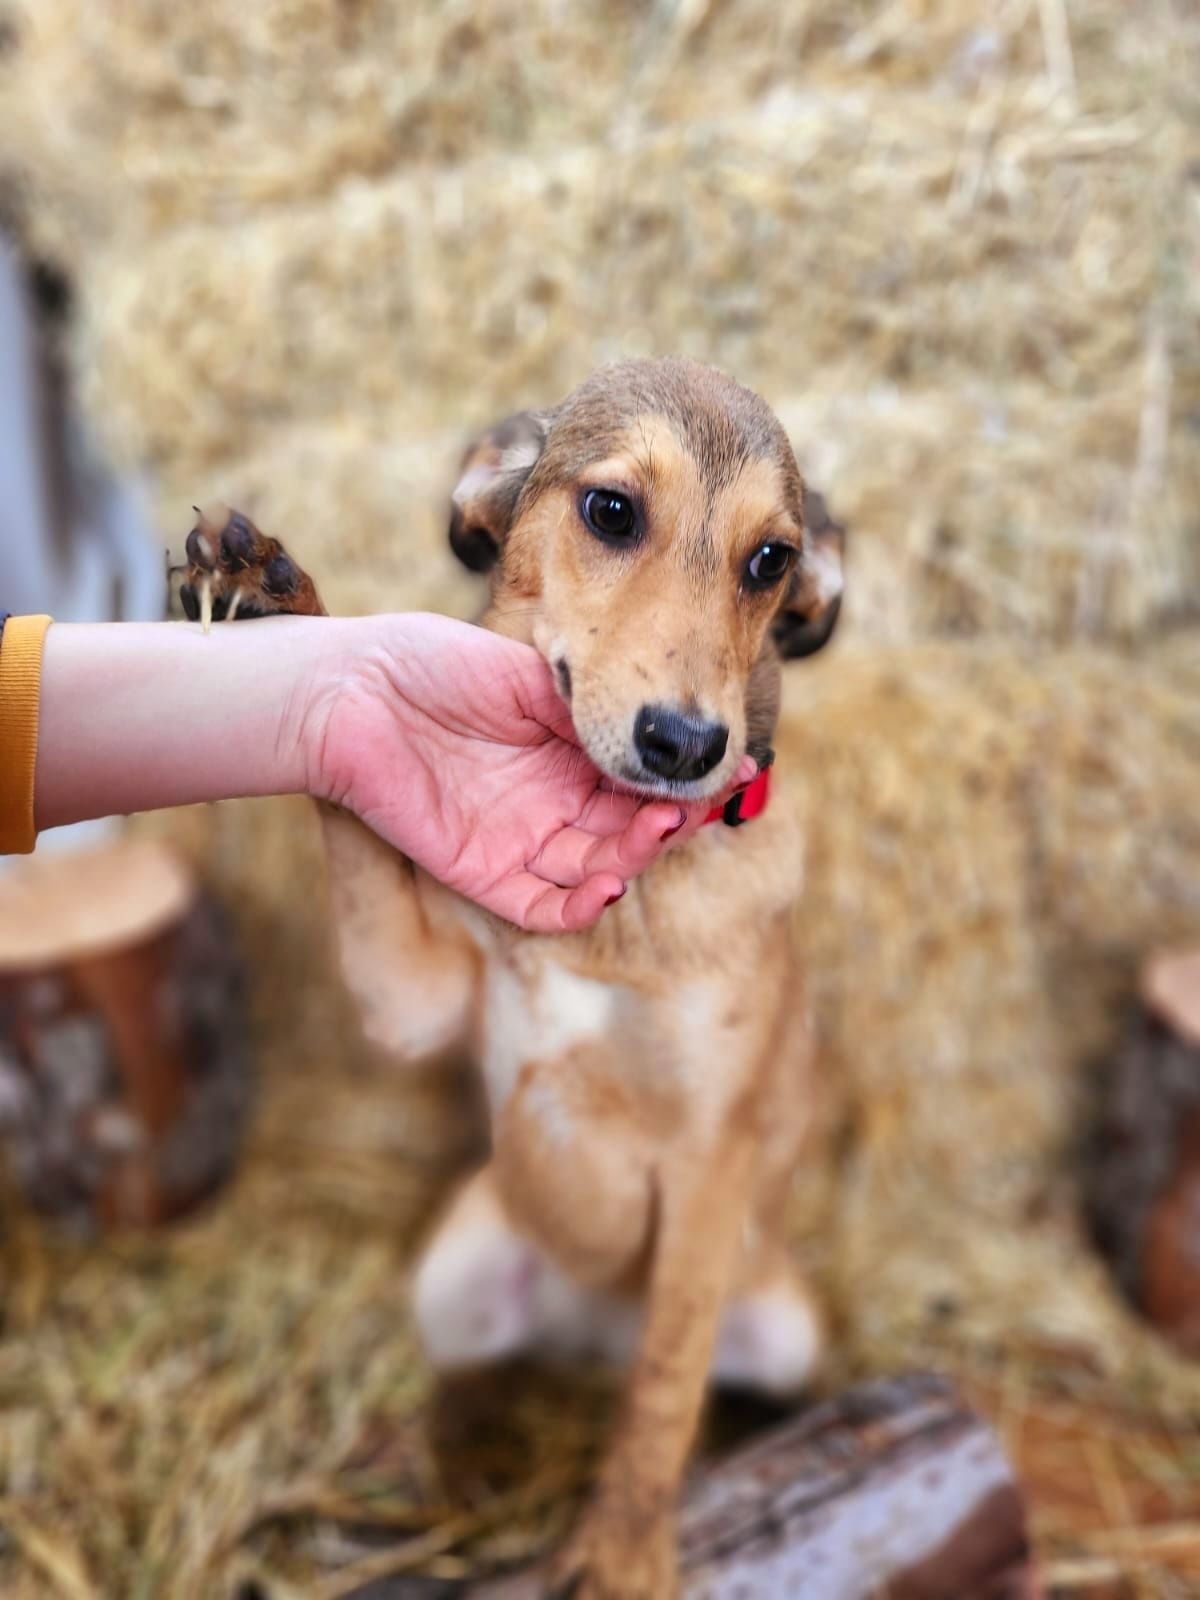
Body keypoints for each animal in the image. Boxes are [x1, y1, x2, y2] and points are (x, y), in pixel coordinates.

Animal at [185, 363, 844, 1600]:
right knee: (473, 1379)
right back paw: (428, 1466)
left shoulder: (711, 1157)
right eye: (612, 511)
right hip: (460, 1264)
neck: (622, 913)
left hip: (779, 1318)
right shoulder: (412, 995)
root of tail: (580, 1341)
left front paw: (625, 1544)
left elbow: (665, 1386)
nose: (688, 746)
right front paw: (271, 595)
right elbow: (357, 809)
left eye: (771, 560)